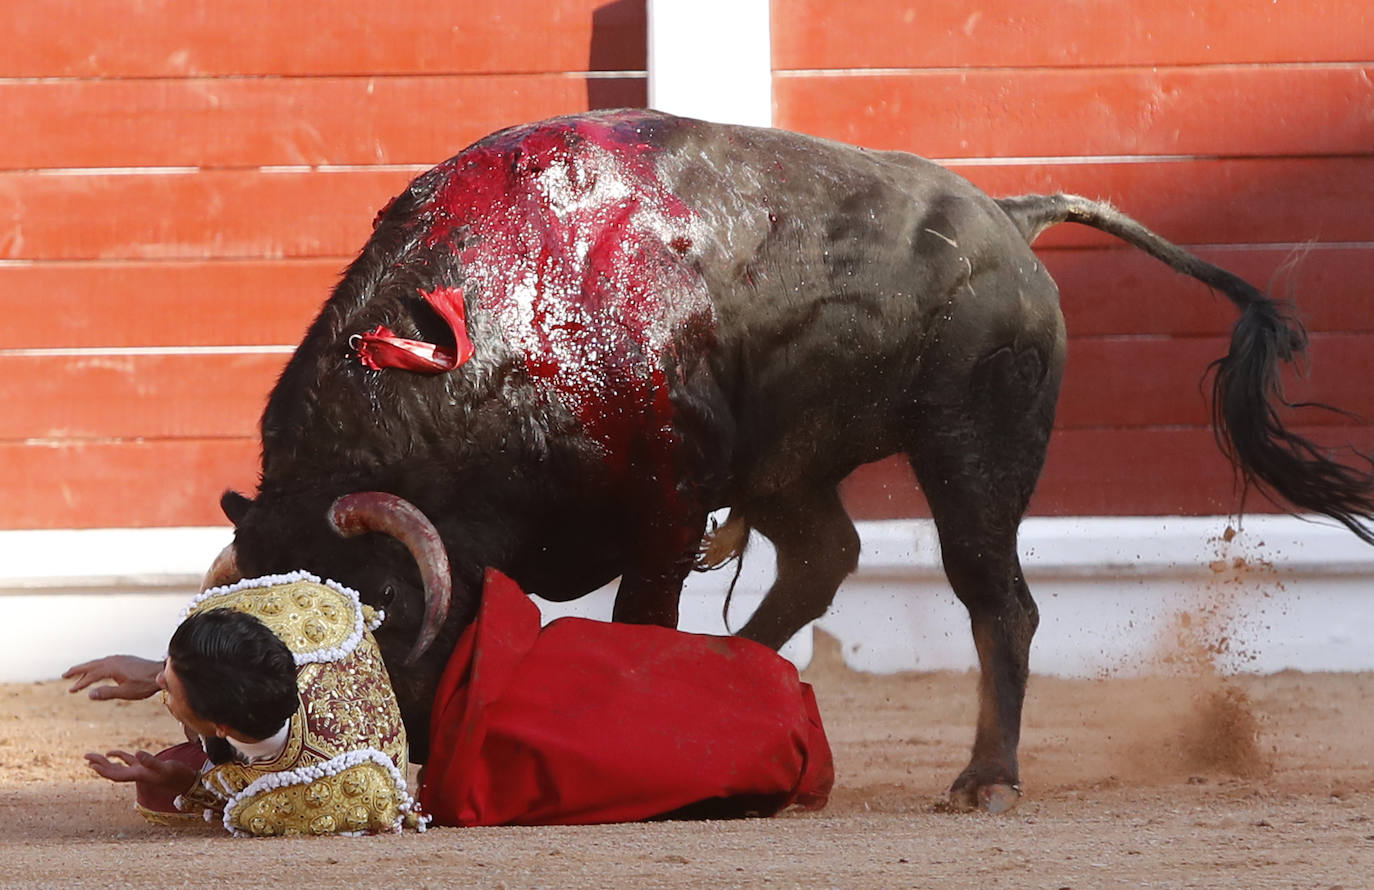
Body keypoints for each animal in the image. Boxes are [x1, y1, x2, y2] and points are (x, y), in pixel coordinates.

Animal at [208, 109, 1374, 813]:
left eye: (366, 606)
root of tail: (1011, 216)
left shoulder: (668, 504)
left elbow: (640, 619)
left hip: (976, 449)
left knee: (996, 596)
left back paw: (984, 777)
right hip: (792, 465)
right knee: (825, 555)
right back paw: (752, 681)